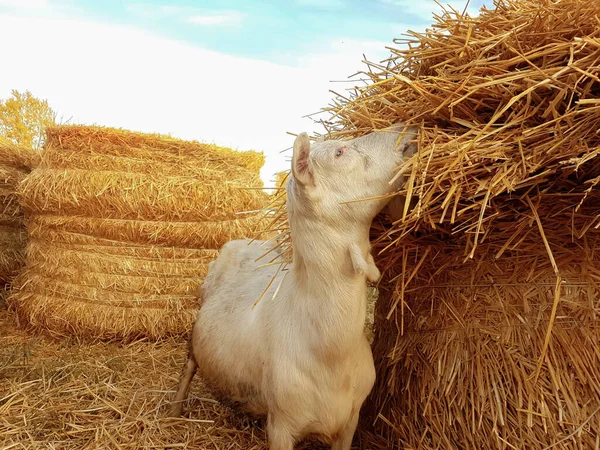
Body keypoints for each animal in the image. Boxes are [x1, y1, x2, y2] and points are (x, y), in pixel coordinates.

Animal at [171, 124, 418, 450]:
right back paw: (173, 411)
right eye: (339, 152)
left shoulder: (350, 421)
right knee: (189, 365)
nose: (408, 130)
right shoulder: (281, 425)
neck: (329, 350)